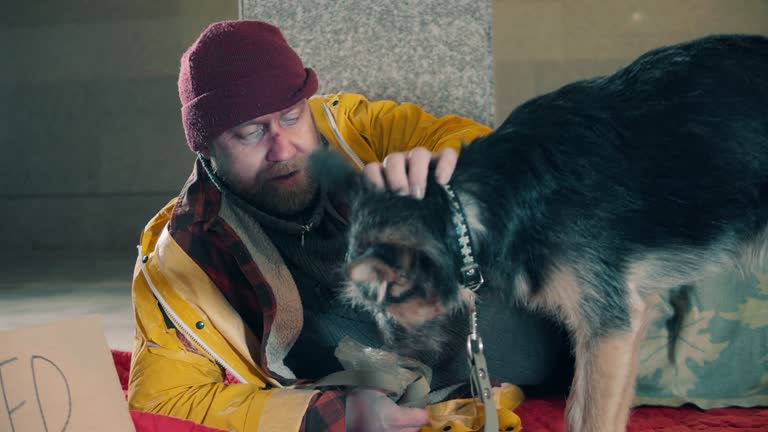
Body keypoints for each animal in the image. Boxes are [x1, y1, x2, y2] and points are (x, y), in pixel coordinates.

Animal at [308, 34, 768, 432]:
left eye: (394, 305)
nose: (401, 378)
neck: (470, 207)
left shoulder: (610, 327)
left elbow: (593, 419)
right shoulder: (620, 322)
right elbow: (582, 410)